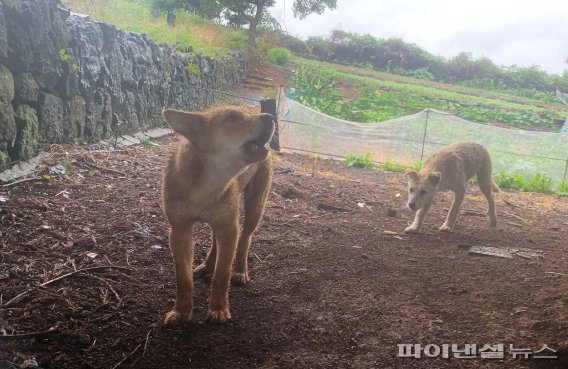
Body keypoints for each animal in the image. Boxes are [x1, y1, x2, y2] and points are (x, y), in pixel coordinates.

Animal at [161, 106, 274, 322]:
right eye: (231, 118)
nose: (270, 116)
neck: (205, 188)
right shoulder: (179, 230)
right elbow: (183, 279)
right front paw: (181, 310)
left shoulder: (229, 228)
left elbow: (221, 276)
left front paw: (218, 309)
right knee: (215, 242)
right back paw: (207, 265)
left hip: (255, 207)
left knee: (245, 239)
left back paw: (239, 271)